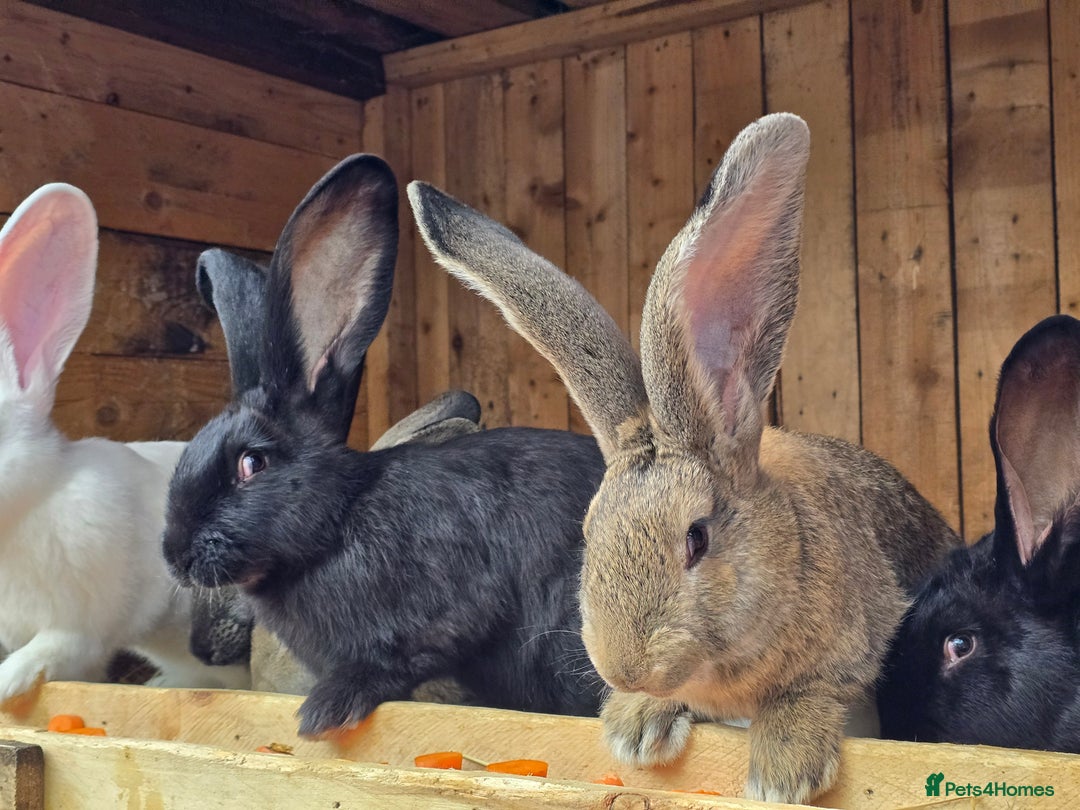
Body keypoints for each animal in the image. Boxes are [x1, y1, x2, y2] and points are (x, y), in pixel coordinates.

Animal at [162, 153, 608, 738]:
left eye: (251, 463)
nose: (175, 556)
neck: (338, 521)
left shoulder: (449, 607)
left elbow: (405, 655)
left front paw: (325, 711)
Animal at [407, 112, 962, 804]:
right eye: (588, 533)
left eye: (697, 538)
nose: (627, 667)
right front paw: (636, 724)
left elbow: (817, 689)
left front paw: (784, 770)